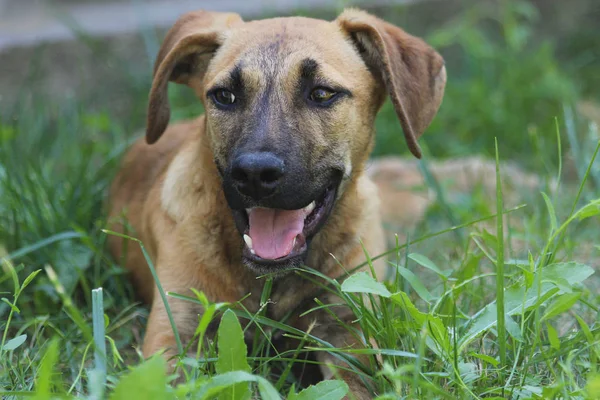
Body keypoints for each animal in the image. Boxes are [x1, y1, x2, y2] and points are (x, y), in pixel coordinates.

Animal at [106, 8, 446, 396]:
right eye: (224, 95)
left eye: (322, 93)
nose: (254, 173)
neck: (271, 286)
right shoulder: (175, 337)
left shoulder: (347, 331)